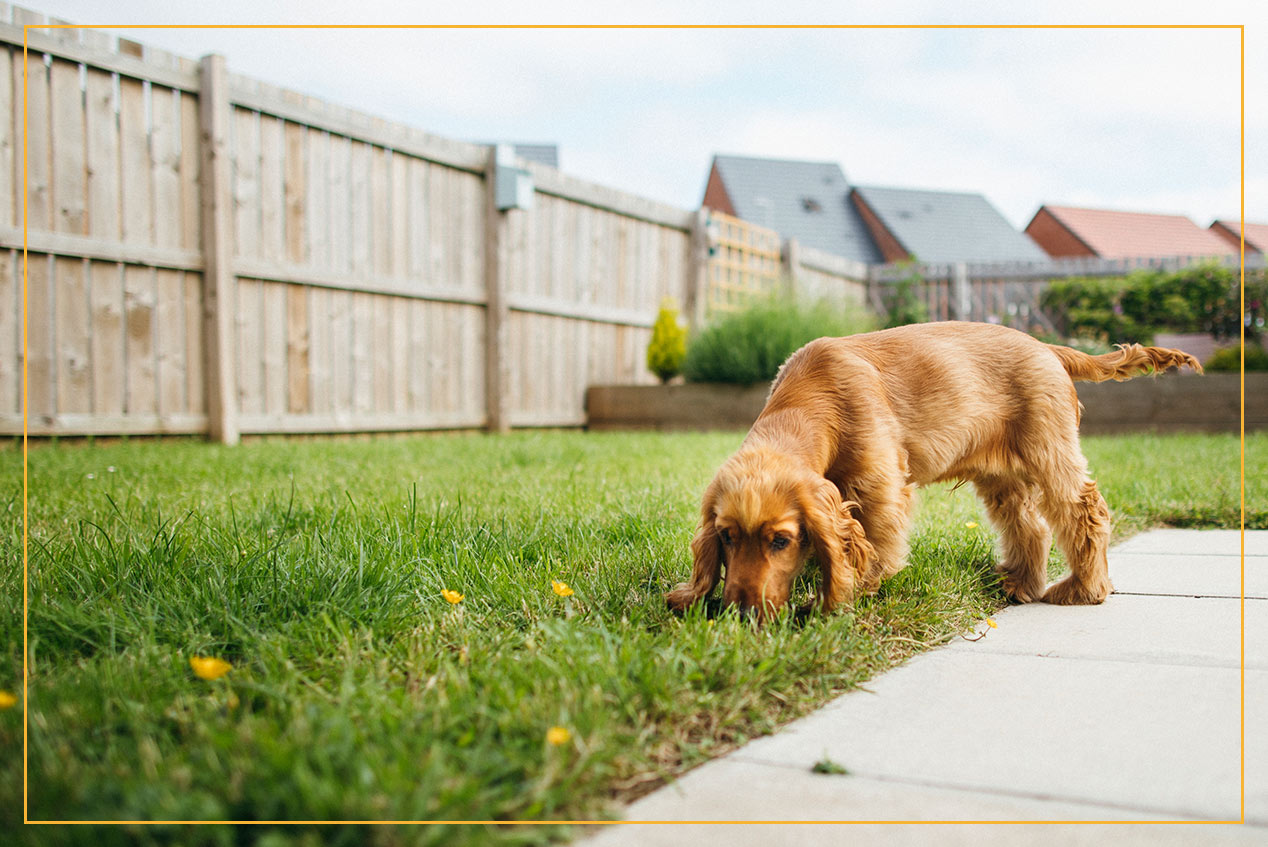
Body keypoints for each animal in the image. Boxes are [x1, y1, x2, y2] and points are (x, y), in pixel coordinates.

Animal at [669, 320, 1202, 618]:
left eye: (781, 540)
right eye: (727, 537)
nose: (739, 614)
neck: (813, 398)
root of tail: (1049, 348)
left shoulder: (880, 485)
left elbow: (876, 543)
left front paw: (843, 594)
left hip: (1049, 447)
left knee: (1084, 511)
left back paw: (1084, 590)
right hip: (1002, 474)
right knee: (1029, 525)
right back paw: (1020, 585)